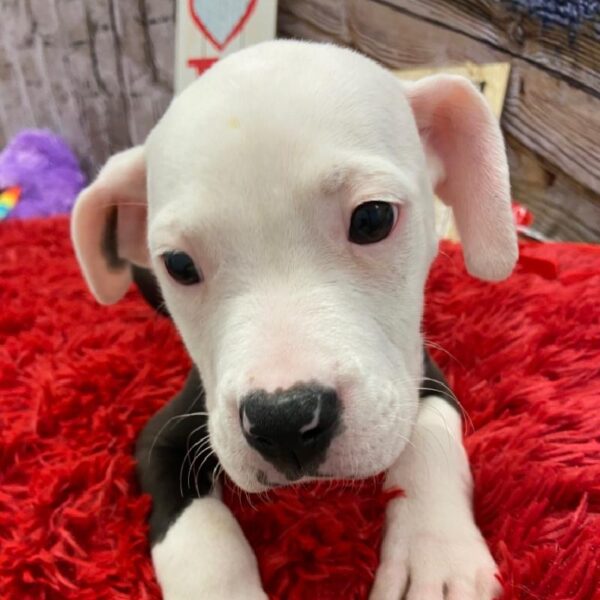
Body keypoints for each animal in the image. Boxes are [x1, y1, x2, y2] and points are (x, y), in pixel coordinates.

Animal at [72, 39, 516, 596]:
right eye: (178, 265)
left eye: (372, 218)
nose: (283, 421)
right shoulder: (166, 433)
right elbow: (200, 531)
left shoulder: (416, 367)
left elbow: (433, 429)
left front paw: (435, 555)